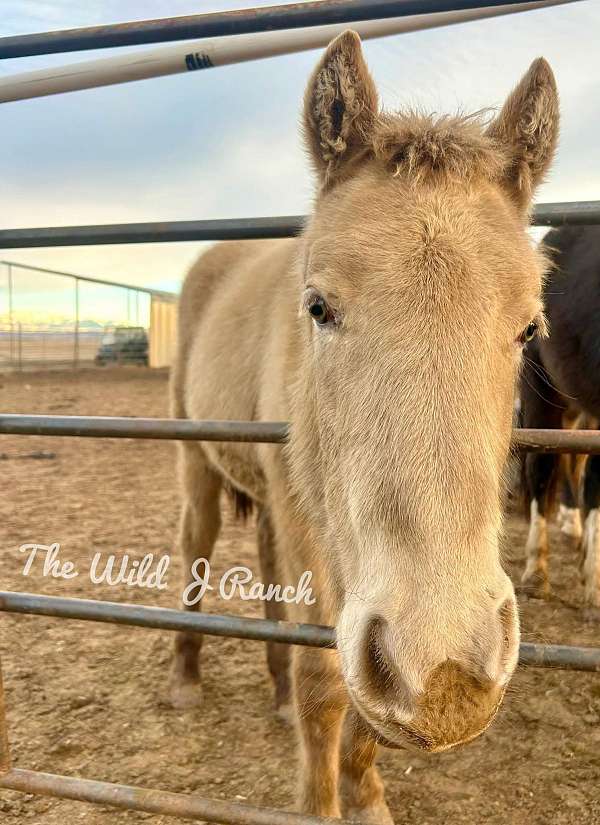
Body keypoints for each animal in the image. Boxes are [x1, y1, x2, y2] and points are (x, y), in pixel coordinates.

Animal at [168, 31, 559, 822]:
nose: (446, 674)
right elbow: (326, 684)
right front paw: (321, 802)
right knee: (196, 549)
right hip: (201, 466)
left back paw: (274, 691)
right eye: (318, 306)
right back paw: (187, 680)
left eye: (529, 328)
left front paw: (367, 795)